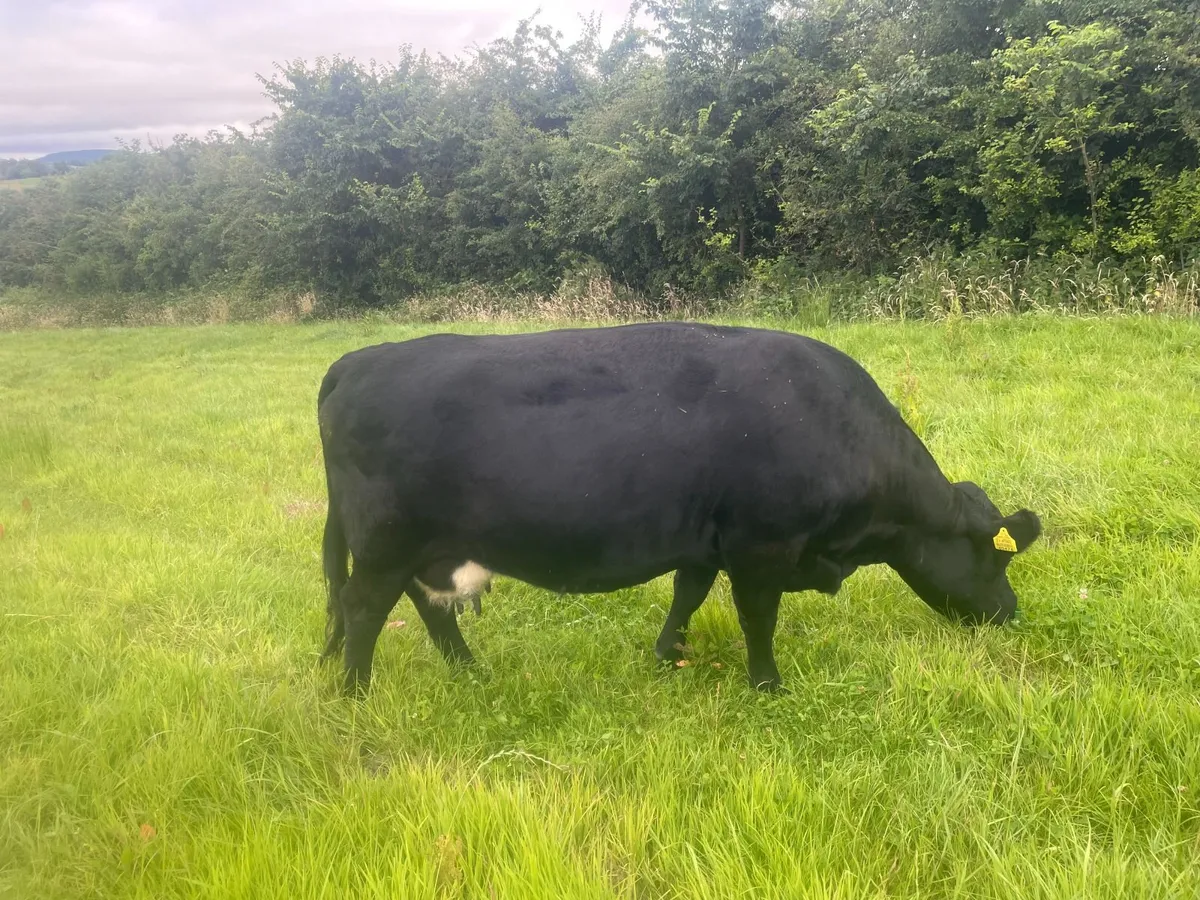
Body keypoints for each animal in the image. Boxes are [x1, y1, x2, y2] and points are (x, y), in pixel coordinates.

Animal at [317, 323, 1041, 696]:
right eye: (996, 559)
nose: (1010, 614)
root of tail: (358, 358)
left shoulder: (704, 541)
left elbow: (687, 594)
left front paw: (668, 655)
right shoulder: (761, 546)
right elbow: (757, 617)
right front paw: (767, 684)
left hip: (425, 546)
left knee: (424, 604)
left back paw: (469, 670)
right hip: (386, 540)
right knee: (363, 607)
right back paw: (357, 692)